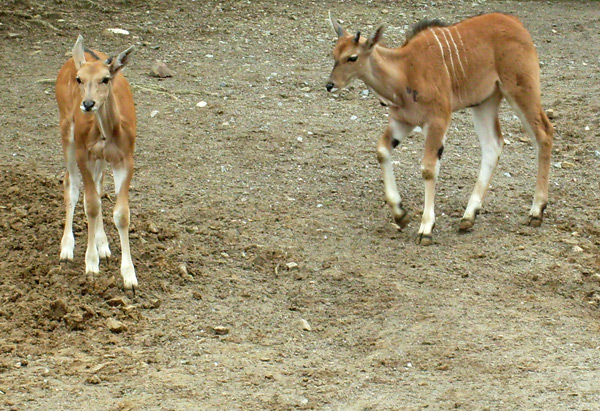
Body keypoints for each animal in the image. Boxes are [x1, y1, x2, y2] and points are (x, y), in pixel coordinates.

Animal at [55, 37, 137, 292]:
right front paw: (91, 265)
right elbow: (90, 205)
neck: (107, 133)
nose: (88, 104)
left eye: (105, 78)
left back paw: (103, 246)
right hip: (67, 131)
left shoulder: (126, 158)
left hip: (100, 158)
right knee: (70, 184)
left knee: (99, 186)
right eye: (79, 79)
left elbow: (121, 214)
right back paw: (67, 249)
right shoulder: (84, 154)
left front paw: (129, 277)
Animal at [328, 12, 552, 245]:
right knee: (493, 145)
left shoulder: (437, 121)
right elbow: (382, 151)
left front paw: (426, 228)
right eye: (334, 54)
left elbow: (428, 168)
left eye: (352, 57)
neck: (405, 70)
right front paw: (400, 214)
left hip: (521, 90)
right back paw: (469, 216)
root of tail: (517, 24)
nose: (330, 85)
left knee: (544, 134)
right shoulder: (402, 122)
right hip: (485, 102)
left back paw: (536, 211)